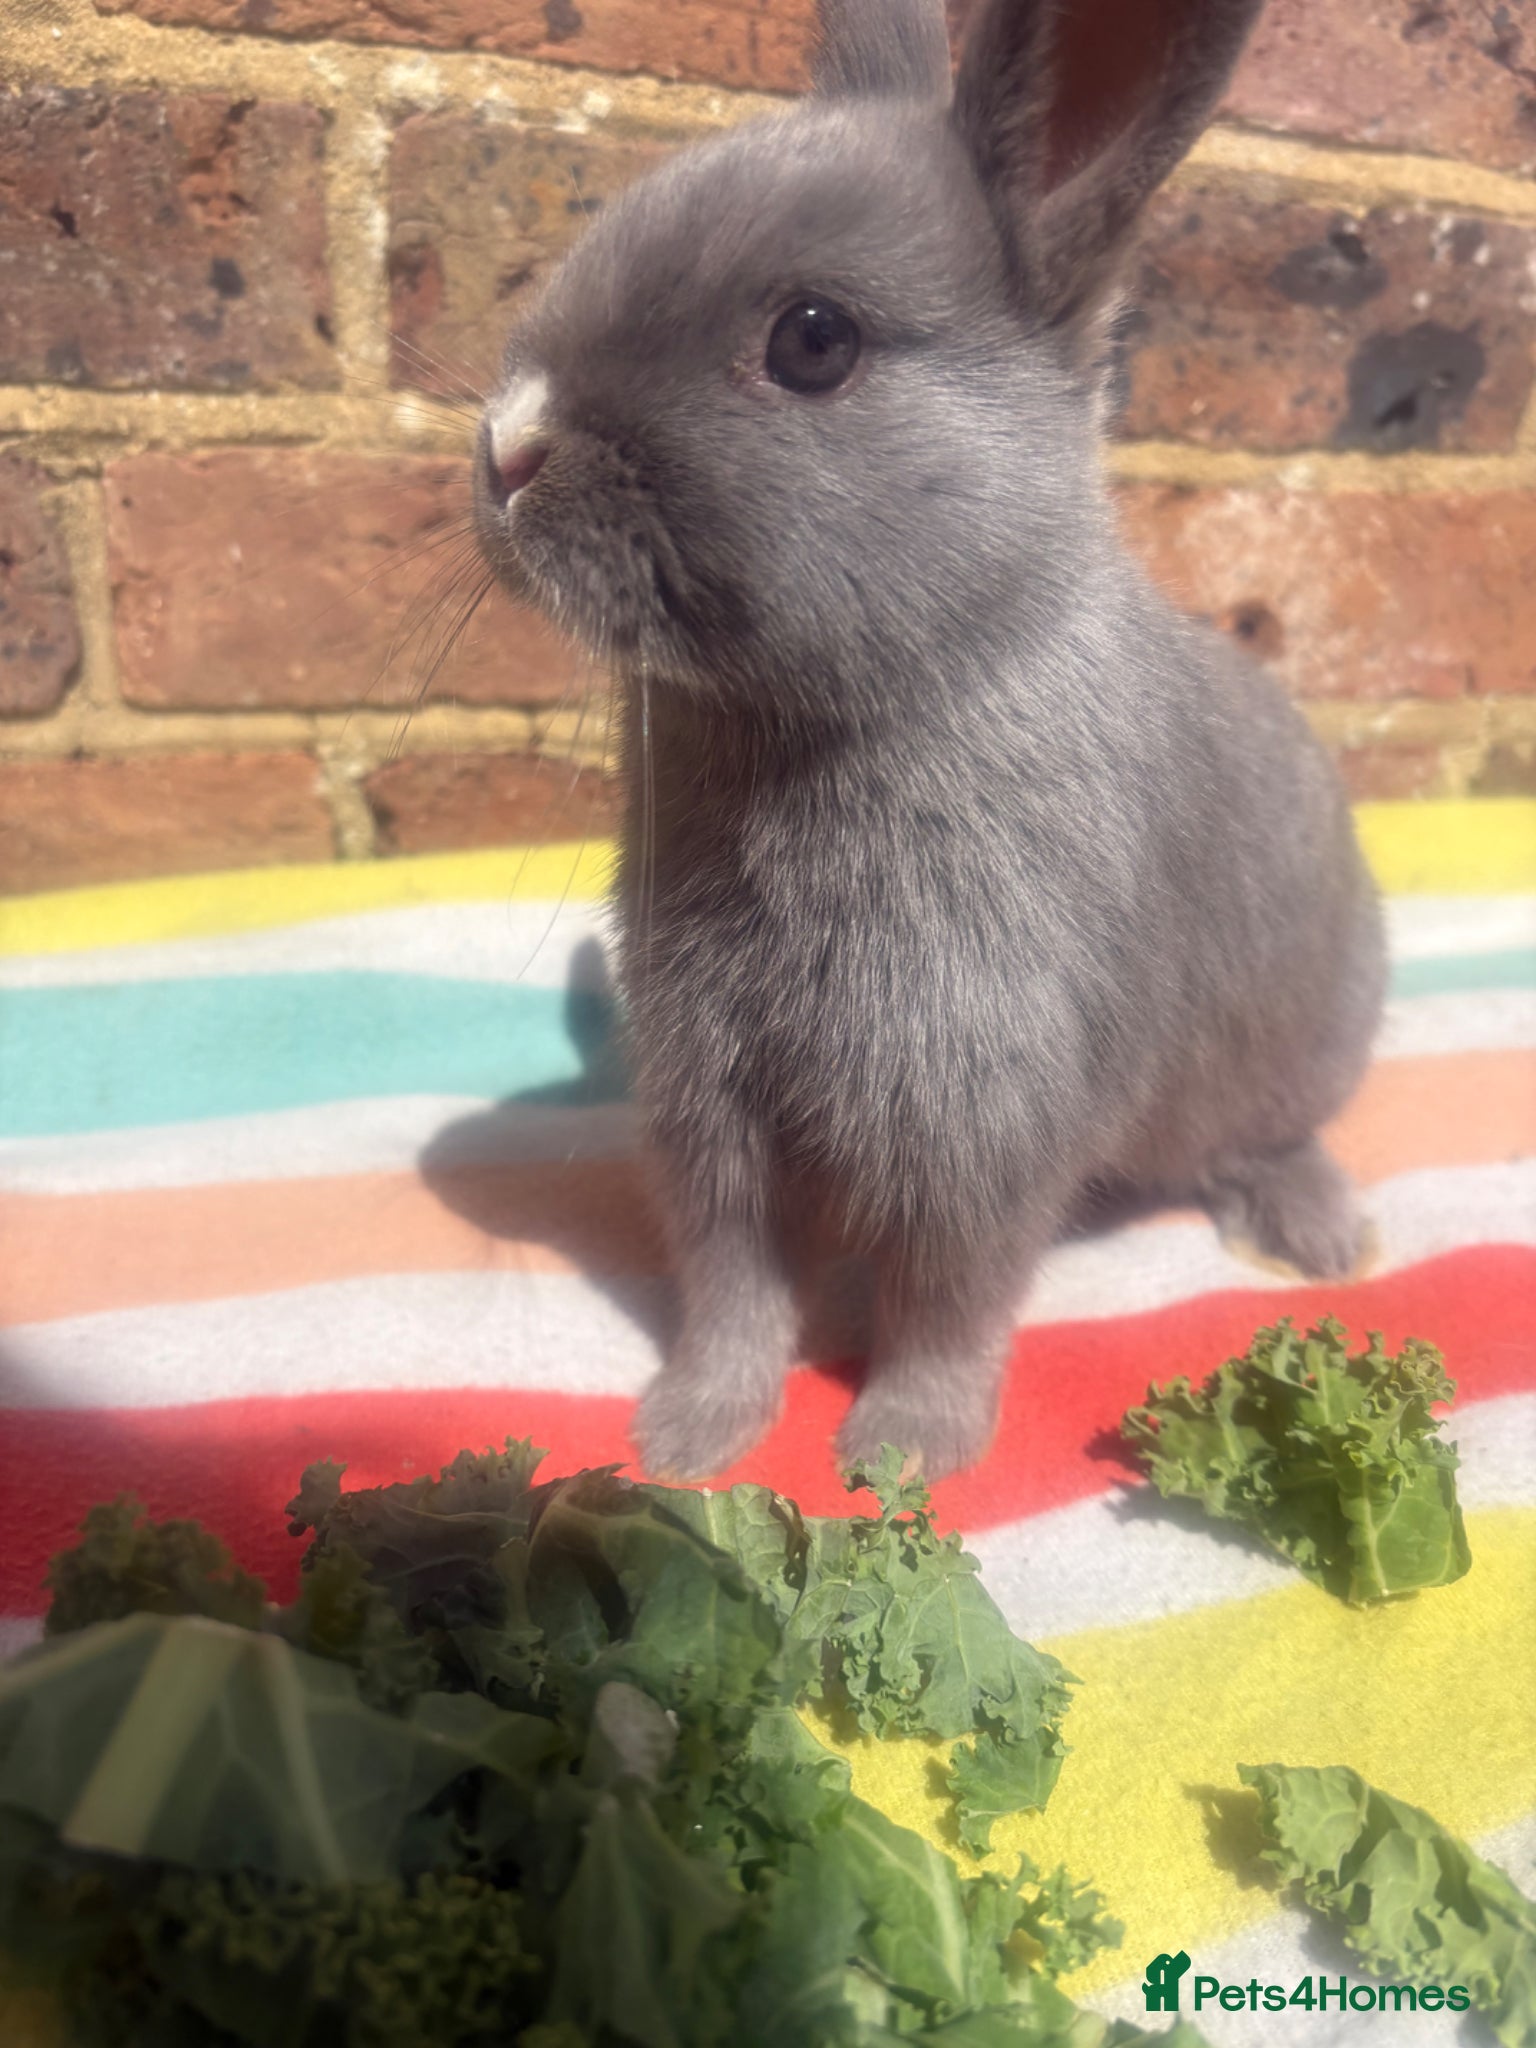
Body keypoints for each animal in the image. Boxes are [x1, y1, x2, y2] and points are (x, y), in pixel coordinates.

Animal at [471, 0, 1386, 1482]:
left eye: (814, 341)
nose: (508, 449)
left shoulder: (982, 1114)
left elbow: (948, 1303)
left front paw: (899, 1455)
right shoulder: (708, 1108)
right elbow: (731, 1287)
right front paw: (689, 1435)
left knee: (1267, 1134)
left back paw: (1318, 1230)